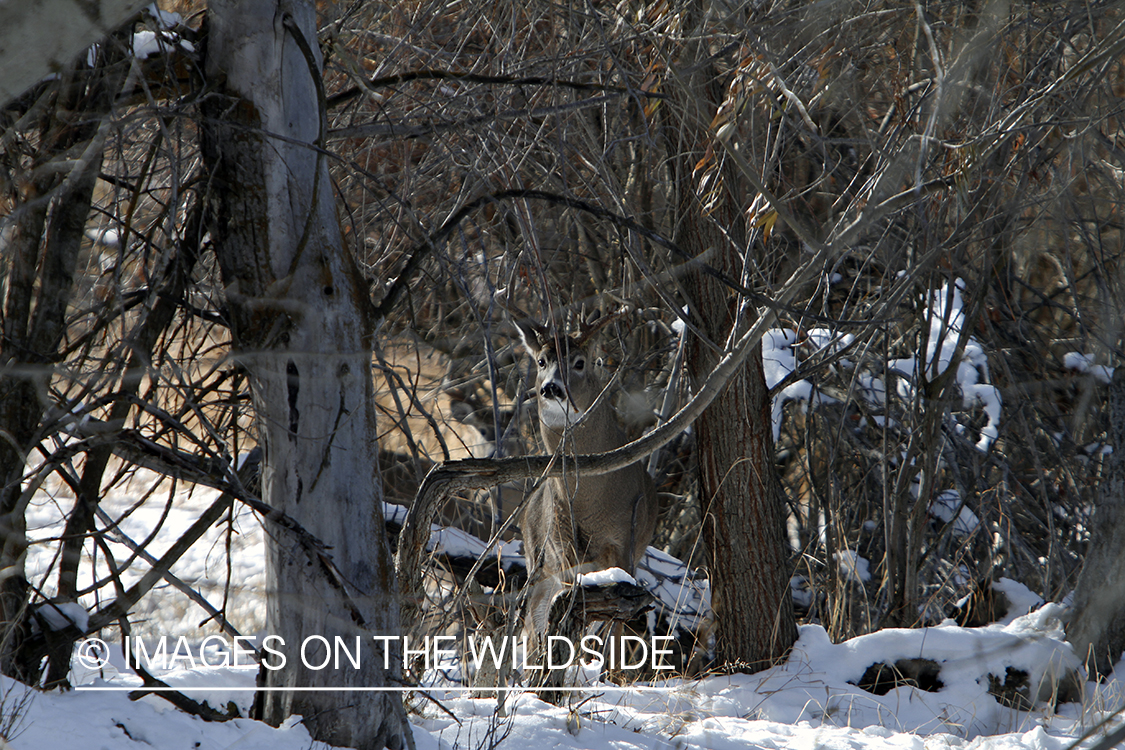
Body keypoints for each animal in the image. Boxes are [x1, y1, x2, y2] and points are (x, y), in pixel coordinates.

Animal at [515, 317, 661, 647]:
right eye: (541, 361)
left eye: (579, 363)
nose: (551, 387)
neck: (589, 500)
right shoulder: (562, 548)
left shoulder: (624, 545)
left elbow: (617, 628)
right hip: (536, 560)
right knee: (533, 627)